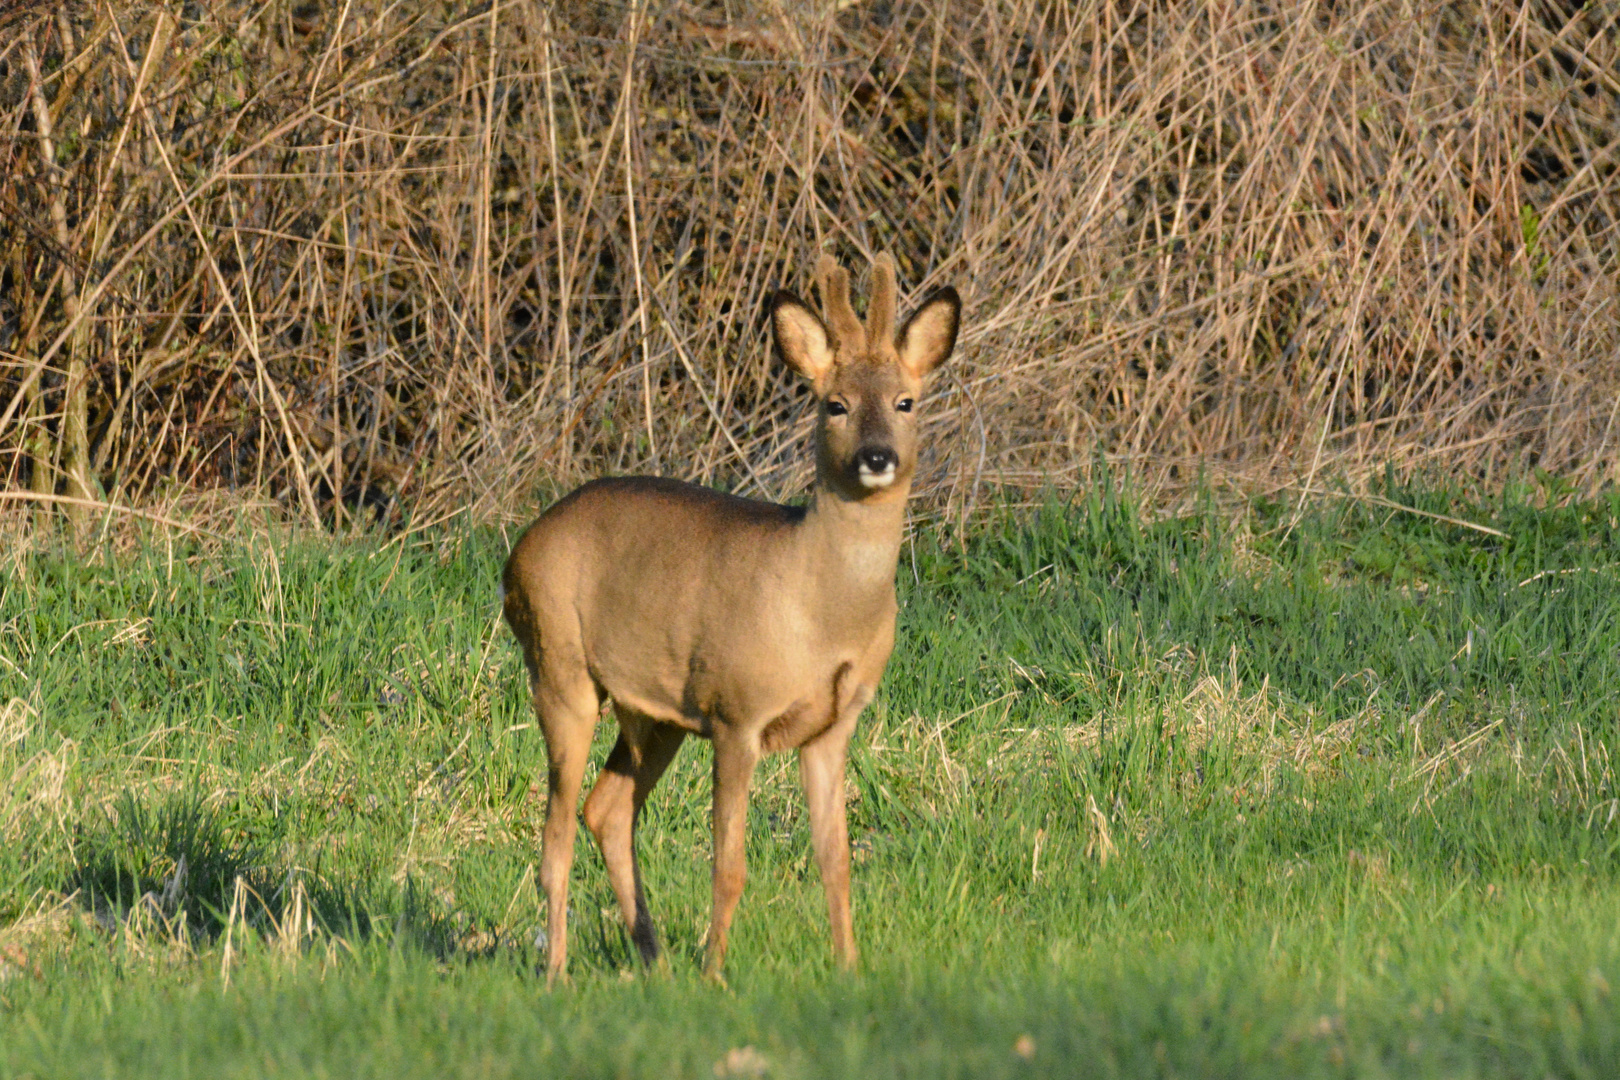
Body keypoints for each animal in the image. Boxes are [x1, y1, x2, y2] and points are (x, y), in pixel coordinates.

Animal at [505, 250, 952, 977]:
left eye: (905, 401)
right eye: (835, 404)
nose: (876, 456)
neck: (823, 611)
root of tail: (516, 555)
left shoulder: (832, 727)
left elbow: (836, 860)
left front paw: (849, 968)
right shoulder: (737, 713)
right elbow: (730, 864)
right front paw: (715, 972)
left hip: (654, 715)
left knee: (607, 809)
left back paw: (653, 958)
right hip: (558, 668)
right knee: (555, 834)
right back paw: (558, 973)